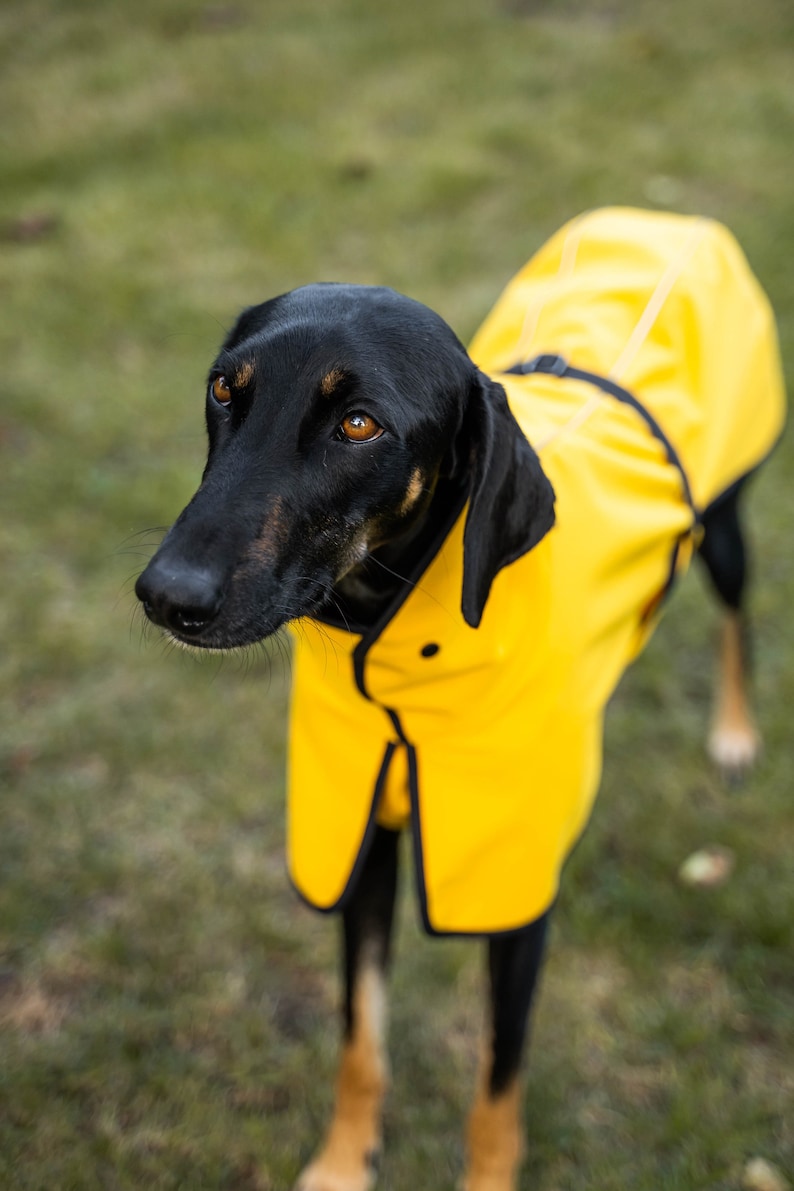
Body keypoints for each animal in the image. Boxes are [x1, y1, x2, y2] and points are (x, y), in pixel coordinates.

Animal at [135, 209, 780, 1186]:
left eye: (358, 423)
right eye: (222, 389)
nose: (166, 594)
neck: (389, 642)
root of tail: (669, 218)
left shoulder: (514, 901)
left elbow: (496, 1086)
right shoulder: (359, 836)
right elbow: (360, 1037)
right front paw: (342, 1162)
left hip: (726, 525)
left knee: (740, 614)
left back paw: (734, 731)